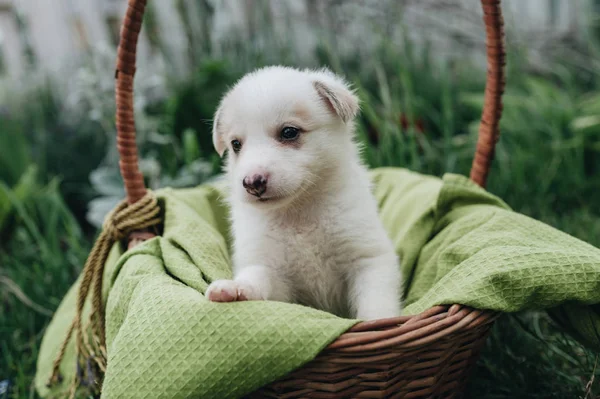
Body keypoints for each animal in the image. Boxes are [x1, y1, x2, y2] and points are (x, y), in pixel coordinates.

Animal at [203, 66, 404, 322]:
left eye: (289, 132)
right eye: (236, 144)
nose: (252, 183)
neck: (299, 212)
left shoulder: (368, 259)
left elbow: (376, 302)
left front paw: (380, 322)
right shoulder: (274, 272)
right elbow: (256, 276)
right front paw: (235, 288)